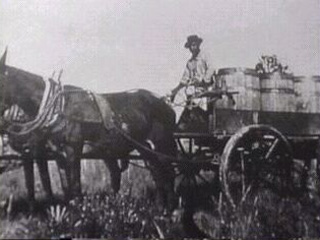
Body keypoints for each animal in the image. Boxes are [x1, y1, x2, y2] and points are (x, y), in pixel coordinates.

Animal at [0, 49, 178, 209]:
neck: (58, 106)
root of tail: (165, 104)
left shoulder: (73, 148)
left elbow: (75, 186)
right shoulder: (57, 154)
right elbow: (66, 188)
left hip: (162, 143)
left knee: (168, 173)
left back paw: (172, 209)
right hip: (144, 146)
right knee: (157, 172)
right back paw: (160, 208)